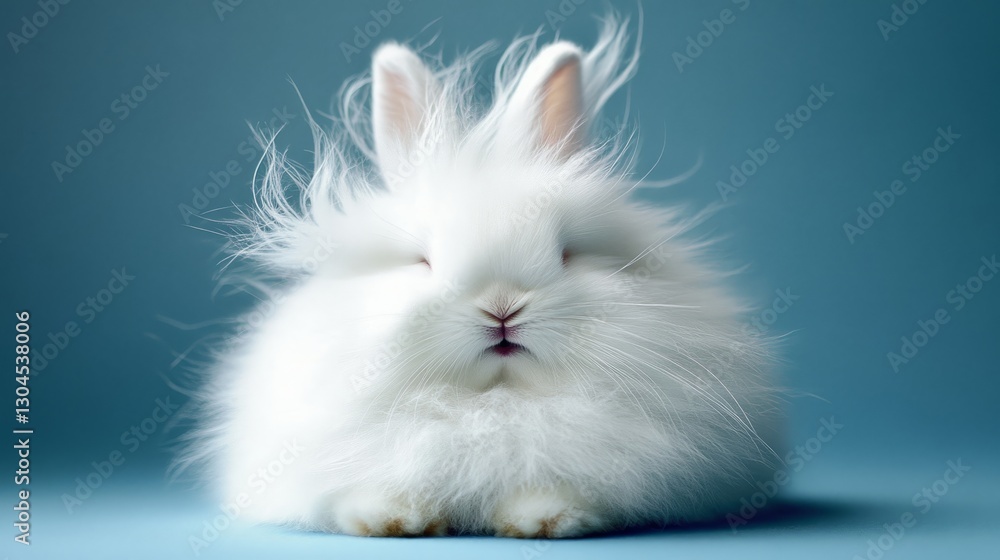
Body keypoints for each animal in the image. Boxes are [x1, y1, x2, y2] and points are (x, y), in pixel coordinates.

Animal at [182, 15, 784, 538]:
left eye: (567, 253)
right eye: (423, 261)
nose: (501, 308)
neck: (492, 404)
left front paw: (544, 520)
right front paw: (390, 521)